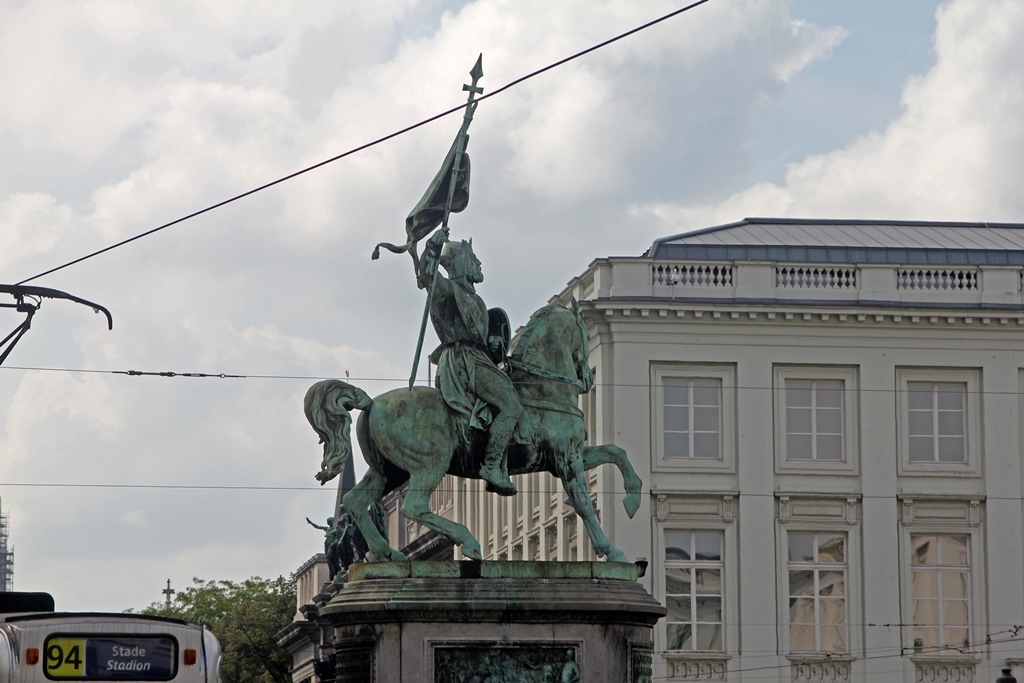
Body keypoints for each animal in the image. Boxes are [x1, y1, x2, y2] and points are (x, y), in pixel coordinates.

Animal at [301, 301, 638, 565]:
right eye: (584, 334)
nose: (589, 377)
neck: (541, 386)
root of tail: (371, 403)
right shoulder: (566, 458)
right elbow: (583, 503)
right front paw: (613, 551)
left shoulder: (567, 456)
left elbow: (616, 452)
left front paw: (633, 498)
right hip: (430, 463)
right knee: (413, 506)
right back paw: (467, 541)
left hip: (389, 471)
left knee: (356, 501)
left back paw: (388, 553)